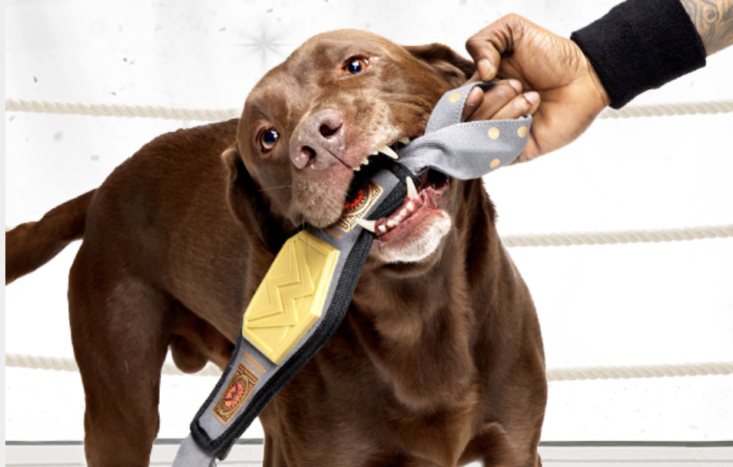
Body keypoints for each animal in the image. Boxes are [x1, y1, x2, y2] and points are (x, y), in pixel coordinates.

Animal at [4, 30, 544, 467]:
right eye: (268, 138)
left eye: (355, 65)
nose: (317, 141)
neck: (416, 314)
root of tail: (101, 192)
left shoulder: (516, 448)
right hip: (122, 408)